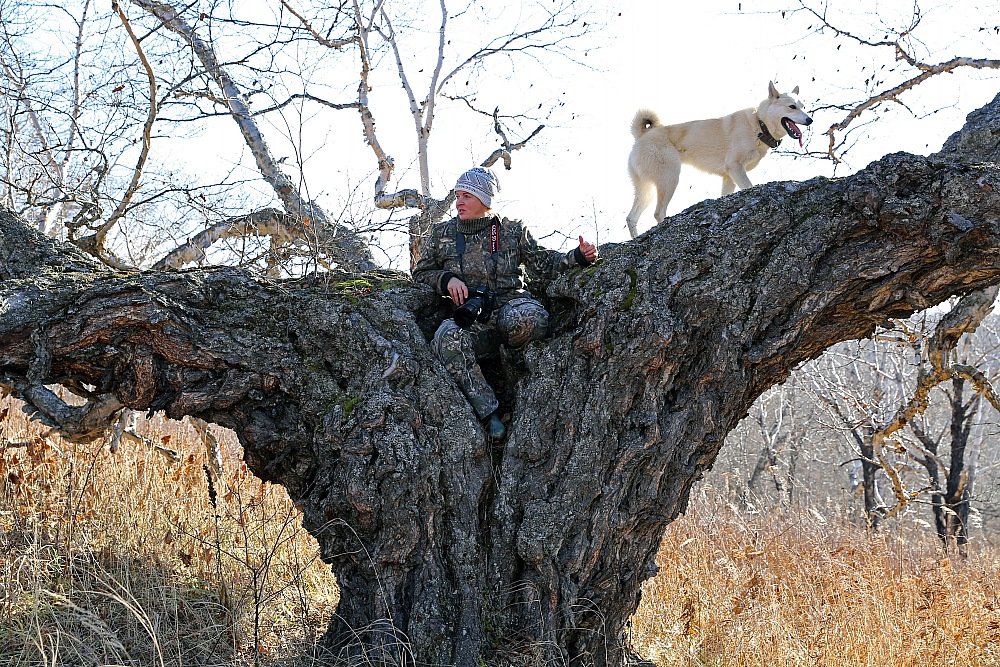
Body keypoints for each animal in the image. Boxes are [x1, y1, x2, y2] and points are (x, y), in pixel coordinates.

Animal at [624, 81, 812, 239]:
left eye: (803, 107)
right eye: (792, 107)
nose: (810, 120)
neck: (759, 125)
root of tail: (642, 135)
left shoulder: (729, 177)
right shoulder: (736, 168)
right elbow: (749, 187)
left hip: (646, 190)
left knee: (631, 218)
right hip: (669, 179)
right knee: (658, 213)